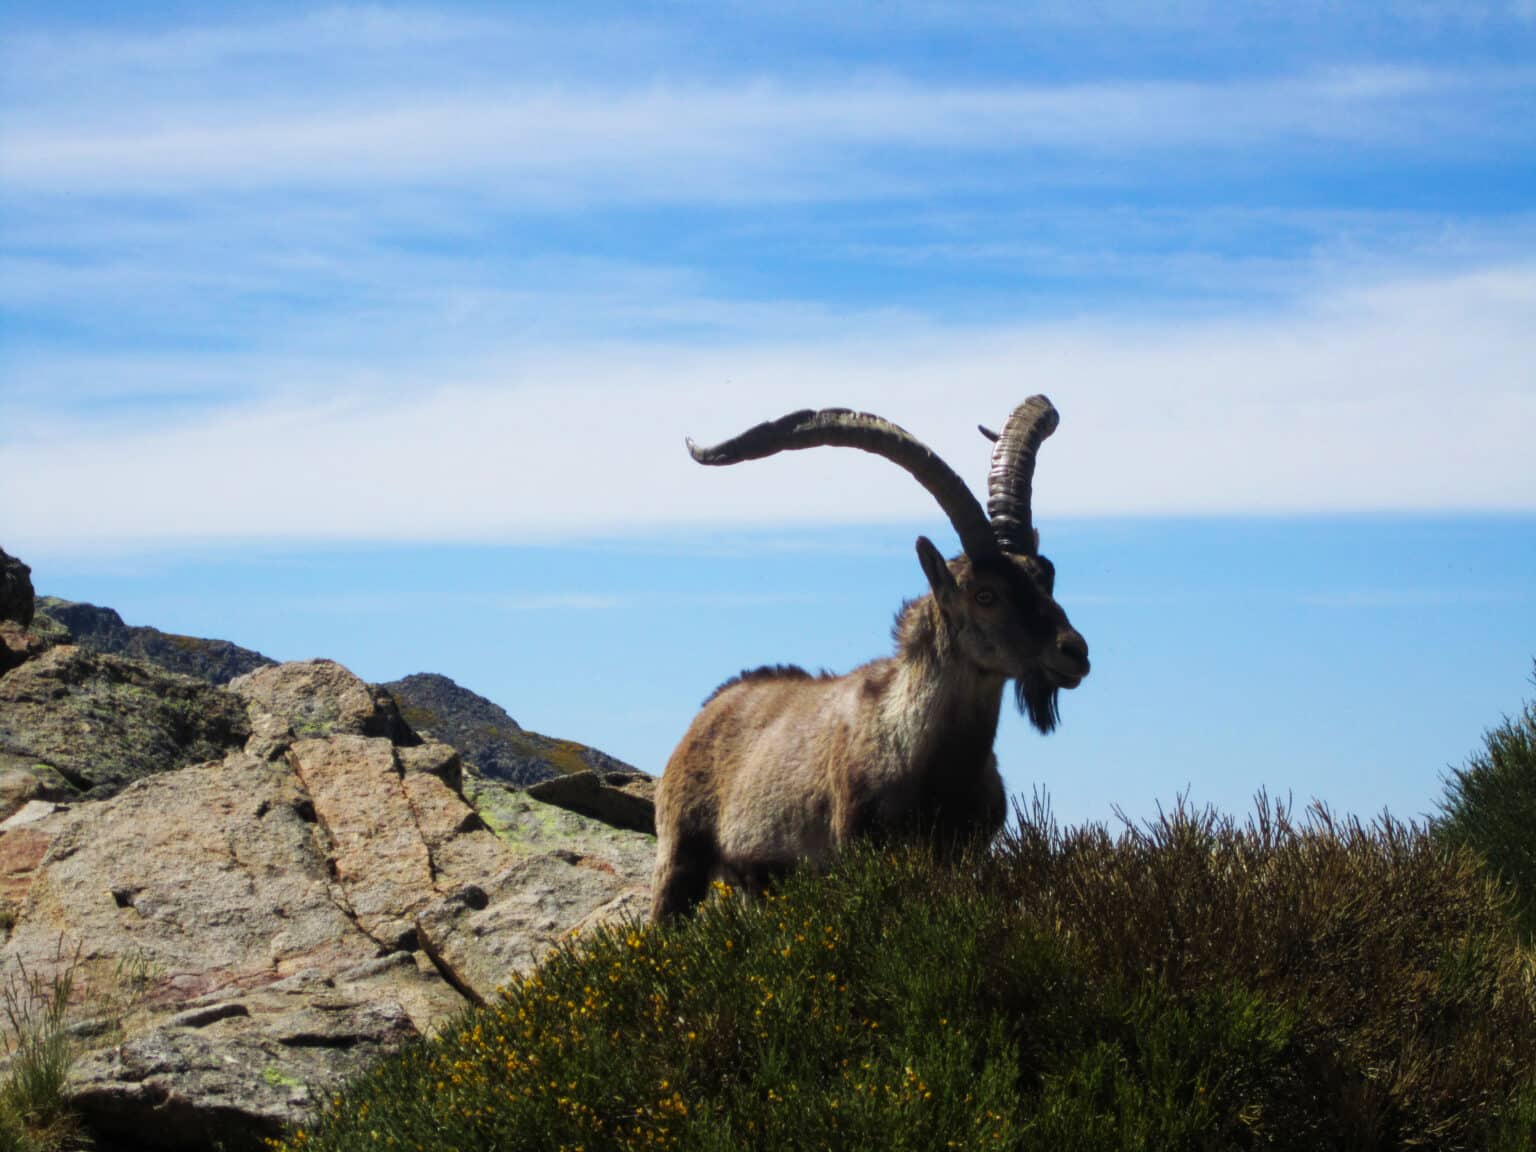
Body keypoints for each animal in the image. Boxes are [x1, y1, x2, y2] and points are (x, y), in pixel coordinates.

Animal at [648, 396, 1093, 921]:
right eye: (985, 594)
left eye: (1046, 575)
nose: (1073, 651)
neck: (932, 759)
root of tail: (708, 711)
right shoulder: (860, 851)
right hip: (679, 854)